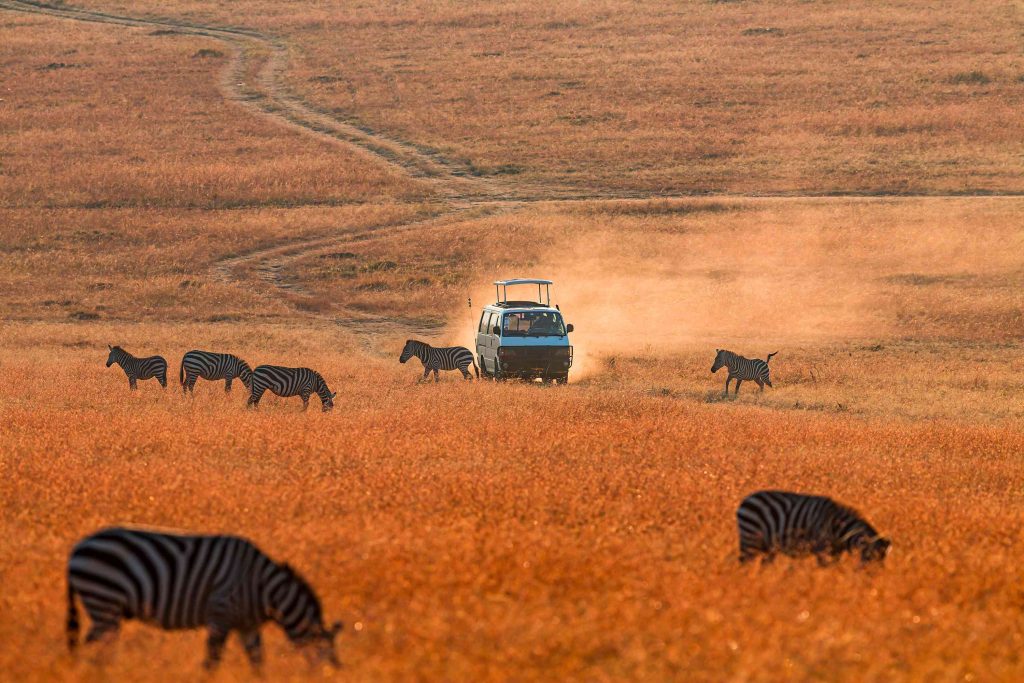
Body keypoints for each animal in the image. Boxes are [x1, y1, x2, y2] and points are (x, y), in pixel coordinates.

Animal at [66, 528, 342, 671]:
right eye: (326, 658)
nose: (337, 673)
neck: (264, 588)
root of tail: (76, 550)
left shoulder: (247, 625)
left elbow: (257, 662)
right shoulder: (220, 614)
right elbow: (212, 660)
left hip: (102, 605)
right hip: (104, 600)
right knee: (96, 647)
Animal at [737, 491, 888, 565]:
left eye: (883, 560)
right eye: (871, 557)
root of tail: (746, 499)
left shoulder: (836, 552)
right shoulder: (820, 548)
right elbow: (824, 567)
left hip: (768, 546)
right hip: (750, 538)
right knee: (744, 562)